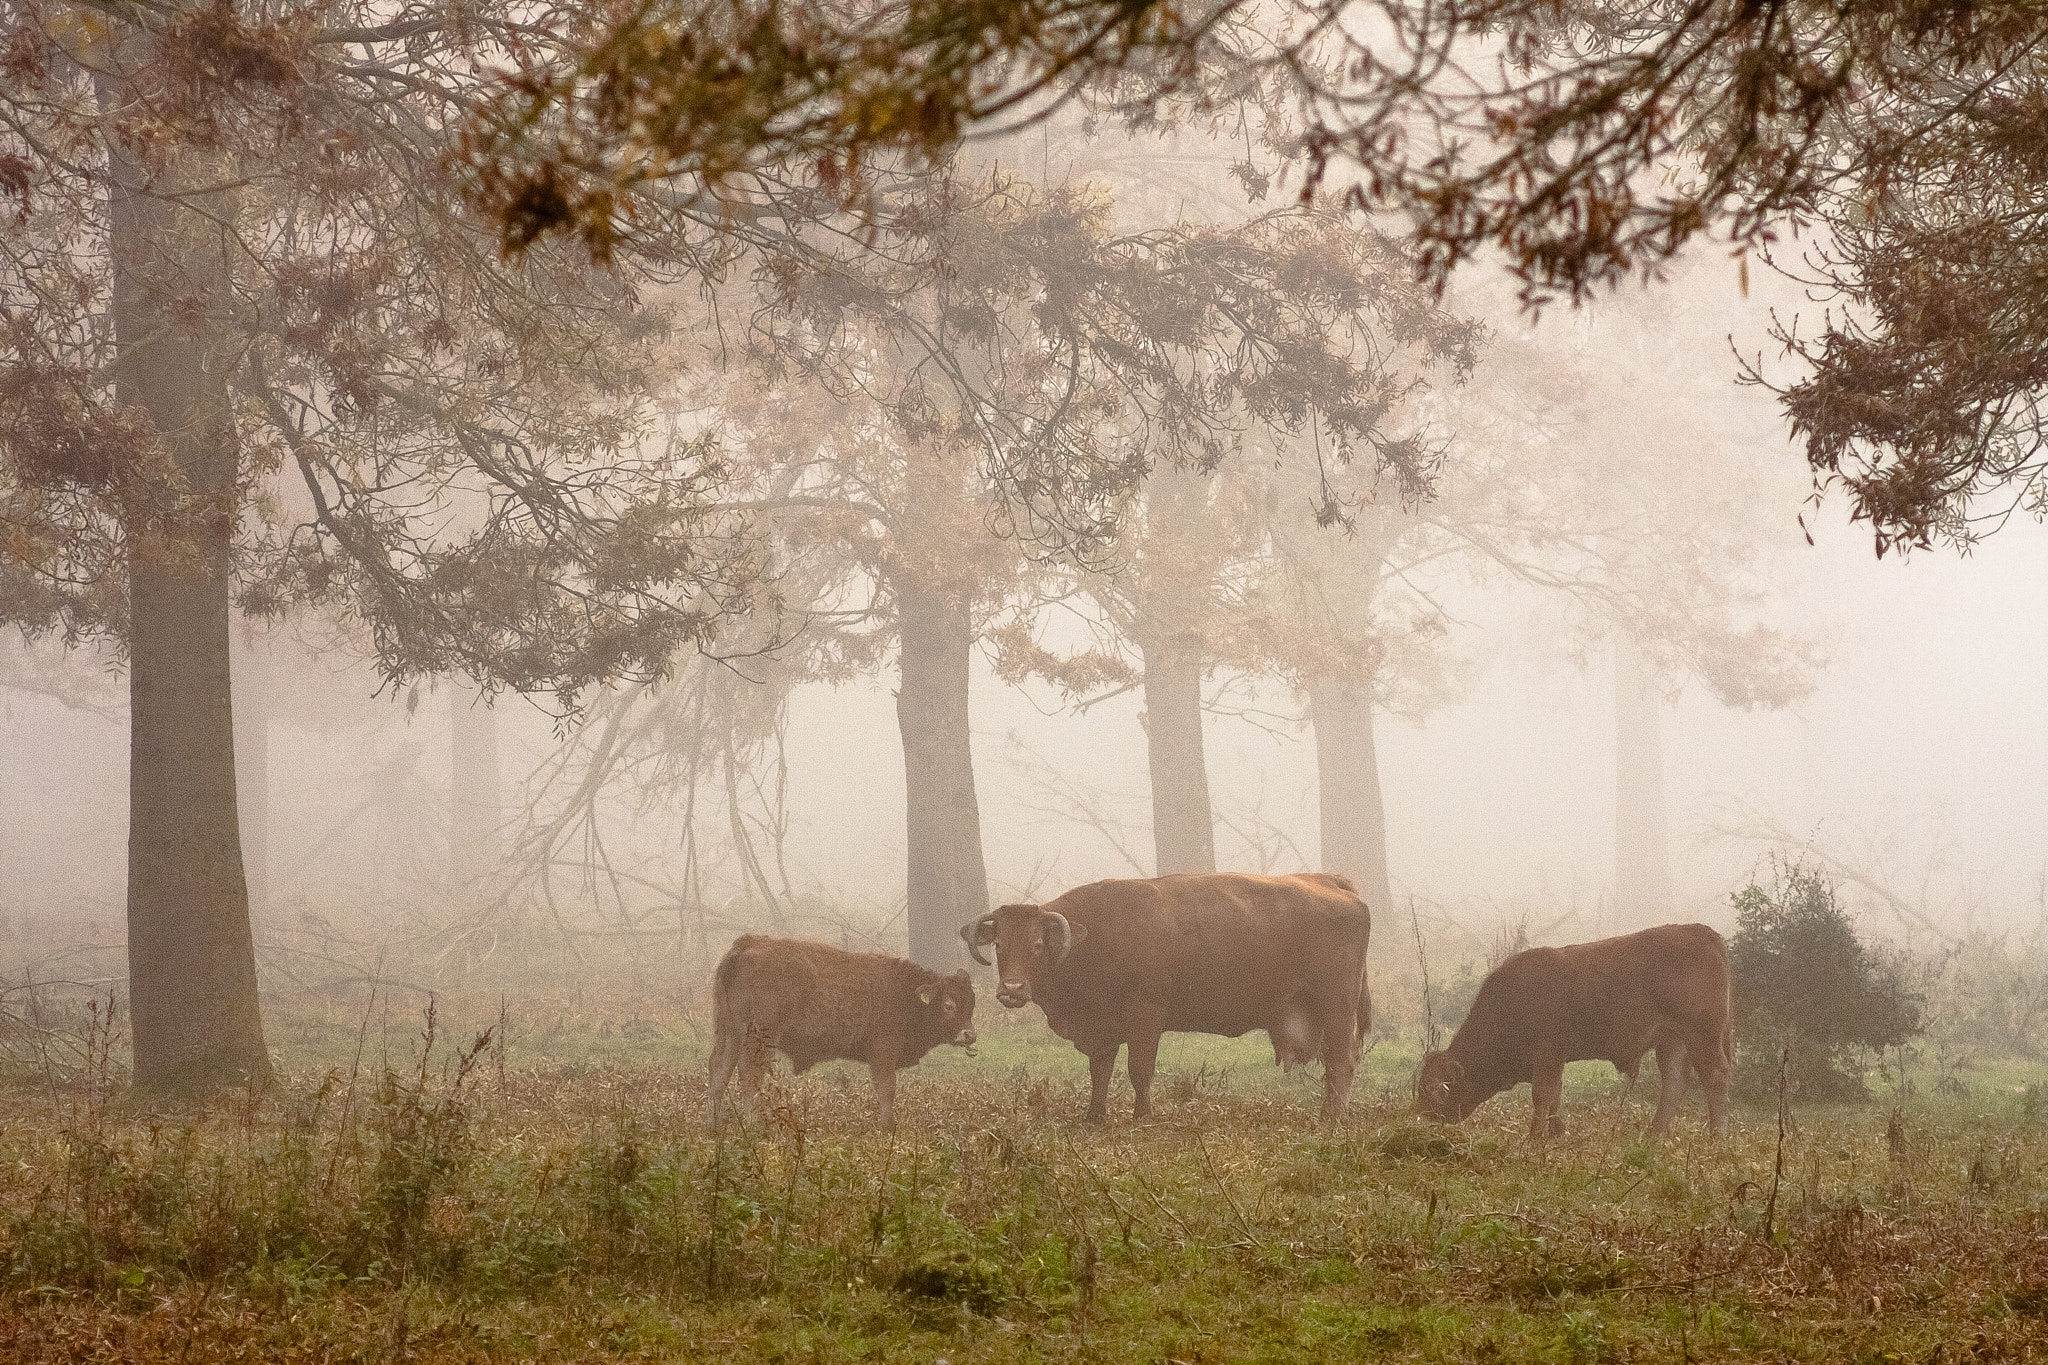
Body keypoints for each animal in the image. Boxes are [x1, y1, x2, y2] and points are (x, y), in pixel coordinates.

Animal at [704, 933, 974, 1137]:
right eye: (949, 1005)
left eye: (971, 1003)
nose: (970, 1035)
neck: (904, 993)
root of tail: (745, 945)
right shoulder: (883, 1053)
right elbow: (887, 1088)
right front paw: (887, 1127)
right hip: (760, 1037)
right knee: (750, 1073)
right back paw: (752, 1124)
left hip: (729, 1032)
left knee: (719, 1070)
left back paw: (714, 1125)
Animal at [962, 875, 1376, 1121]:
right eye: (999, 944)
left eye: (1036, 944)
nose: (1012, 990)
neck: (1091, 936)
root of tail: (1333, 883)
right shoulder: (1102, 1028)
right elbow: (1100, 1071)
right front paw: (1095, 1116)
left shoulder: (1145, 1021)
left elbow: (1139, 1070)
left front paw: (1142, 1116)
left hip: (1337, 1009)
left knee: (1342, 1063)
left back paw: (1331, 1119)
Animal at [1417, 925, 1736, 1137]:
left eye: (1437, 1091)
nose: (1425, 1117)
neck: (1513, 1000)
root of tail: (1700, 932)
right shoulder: (1554, 1061)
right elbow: (1555, 1095)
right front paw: (1557, 1132)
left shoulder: (1547, 1055)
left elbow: (1542, 1095)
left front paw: (1534, 1137)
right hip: (1671, 1040)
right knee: (1674, 1081)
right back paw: (1654, 1133)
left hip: (1702, 1035)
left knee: (1715, 1076)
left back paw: (1717, 1135)